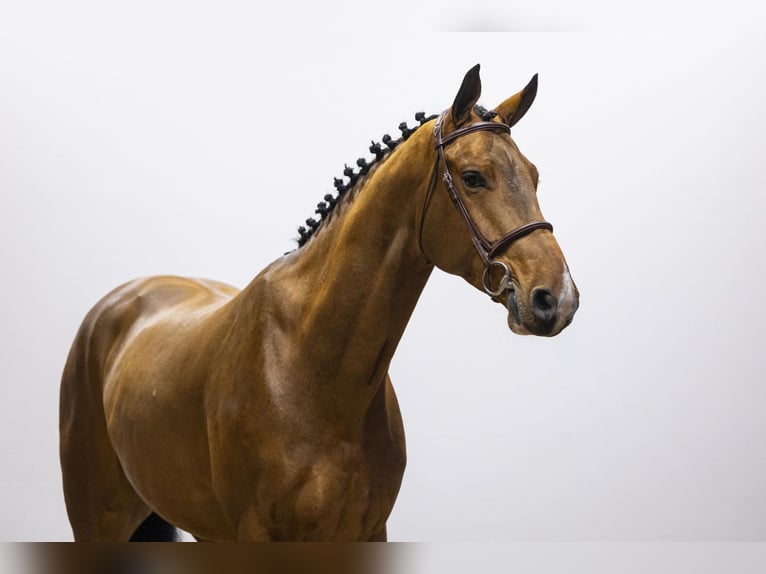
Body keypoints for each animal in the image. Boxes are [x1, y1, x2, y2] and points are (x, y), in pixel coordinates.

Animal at [59, 64, 579, 541]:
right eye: (473, 178)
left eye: (534, 175)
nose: (557, 298)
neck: (309, 364)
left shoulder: (368, 532)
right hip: (98, 521)